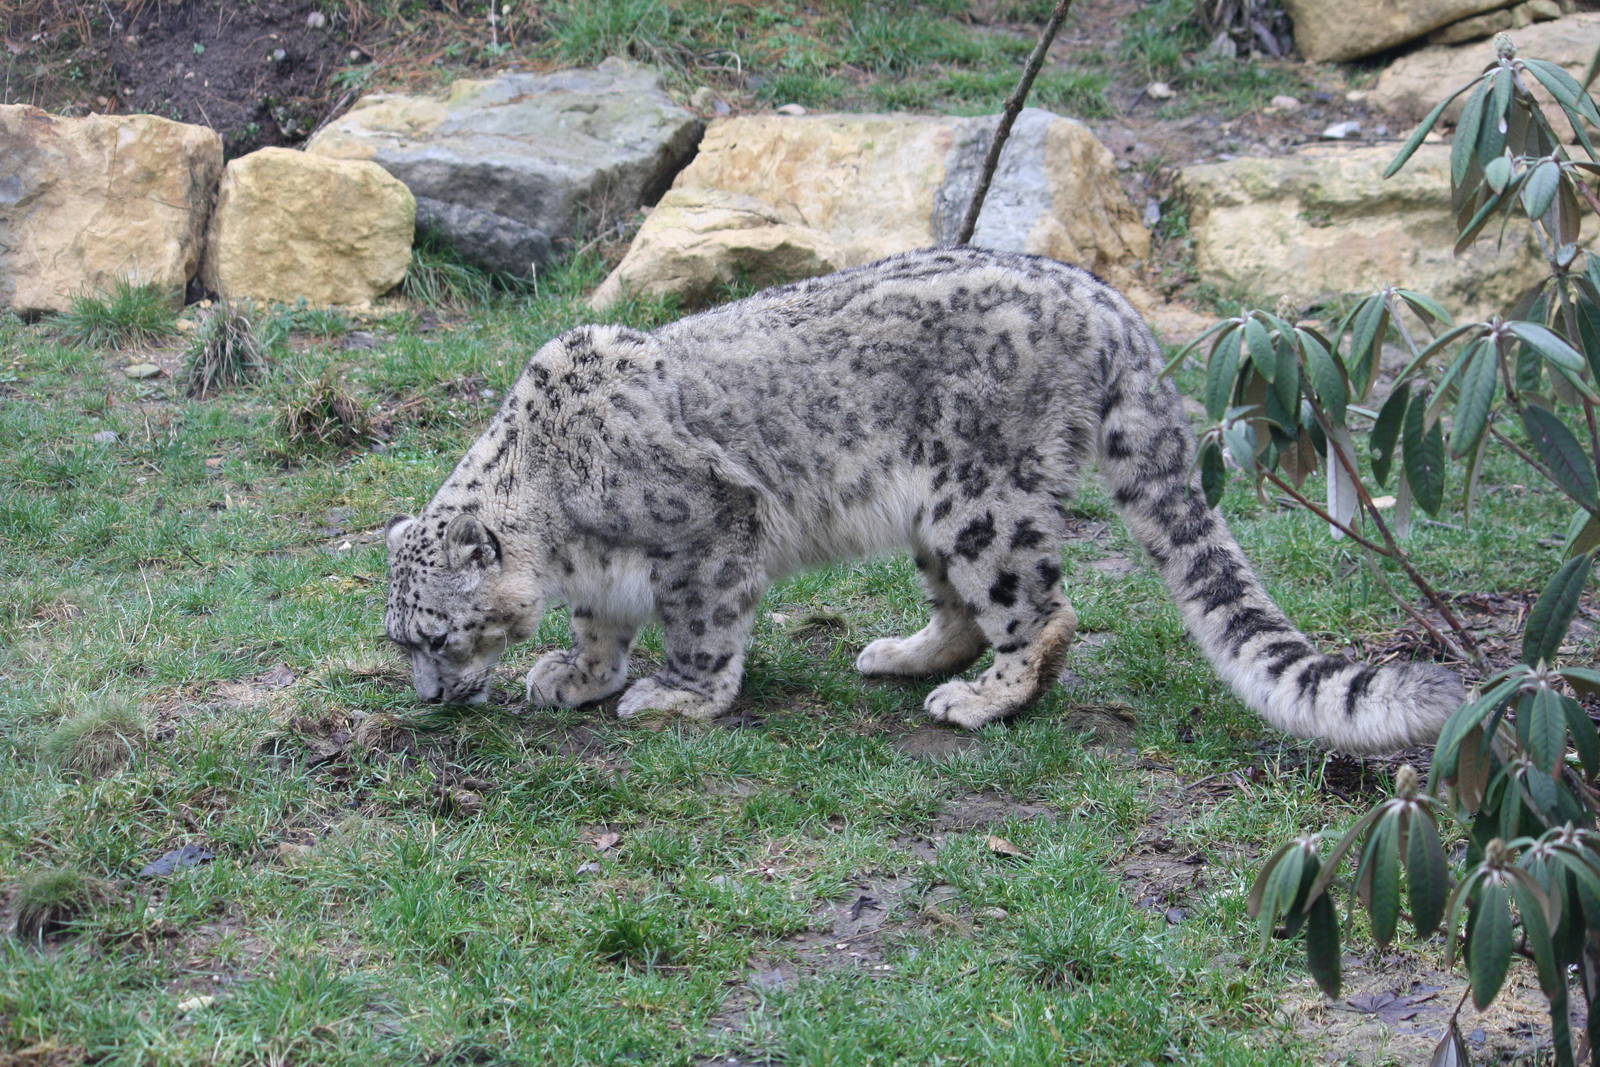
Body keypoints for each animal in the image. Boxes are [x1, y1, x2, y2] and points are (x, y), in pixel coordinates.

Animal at [384, 247, 1463, 752]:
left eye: (438, 635)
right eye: (403, 642)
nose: (429, 697)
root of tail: (1101, 297)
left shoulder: (709, 528)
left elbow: (701, 625)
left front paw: (676, 695)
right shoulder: (603, 577)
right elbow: (599, 621)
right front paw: (577, 673)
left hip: (983, 497)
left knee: (1041, 604)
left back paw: (980, 697)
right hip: (931, 509)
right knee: (958, 604)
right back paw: (903, 654)